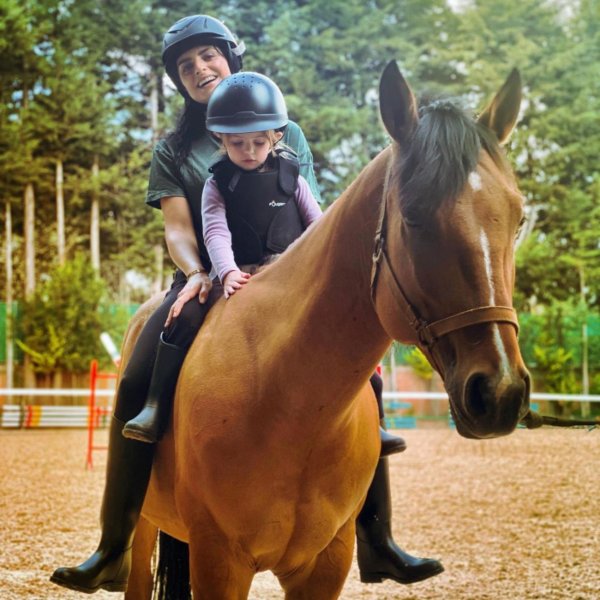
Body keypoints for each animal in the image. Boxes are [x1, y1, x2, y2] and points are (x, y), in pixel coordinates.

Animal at [119, 58, 528, 596]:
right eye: (414, 218)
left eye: (518, 219)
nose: (500, 392)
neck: (290, 399)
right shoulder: (218, 561)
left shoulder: (327, 561)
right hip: (145, 528)